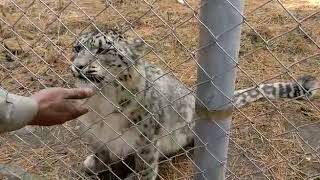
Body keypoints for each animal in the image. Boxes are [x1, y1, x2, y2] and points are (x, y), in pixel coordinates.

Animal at [70, 28, 318, 179]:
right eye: (77, 48)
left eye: (104, 49)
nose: (78, 66)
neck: (101, 102)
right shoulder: (95, 135)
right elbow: (100, 154)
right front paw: (93, 164)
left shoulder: (146, 142)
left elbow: (145, 169)